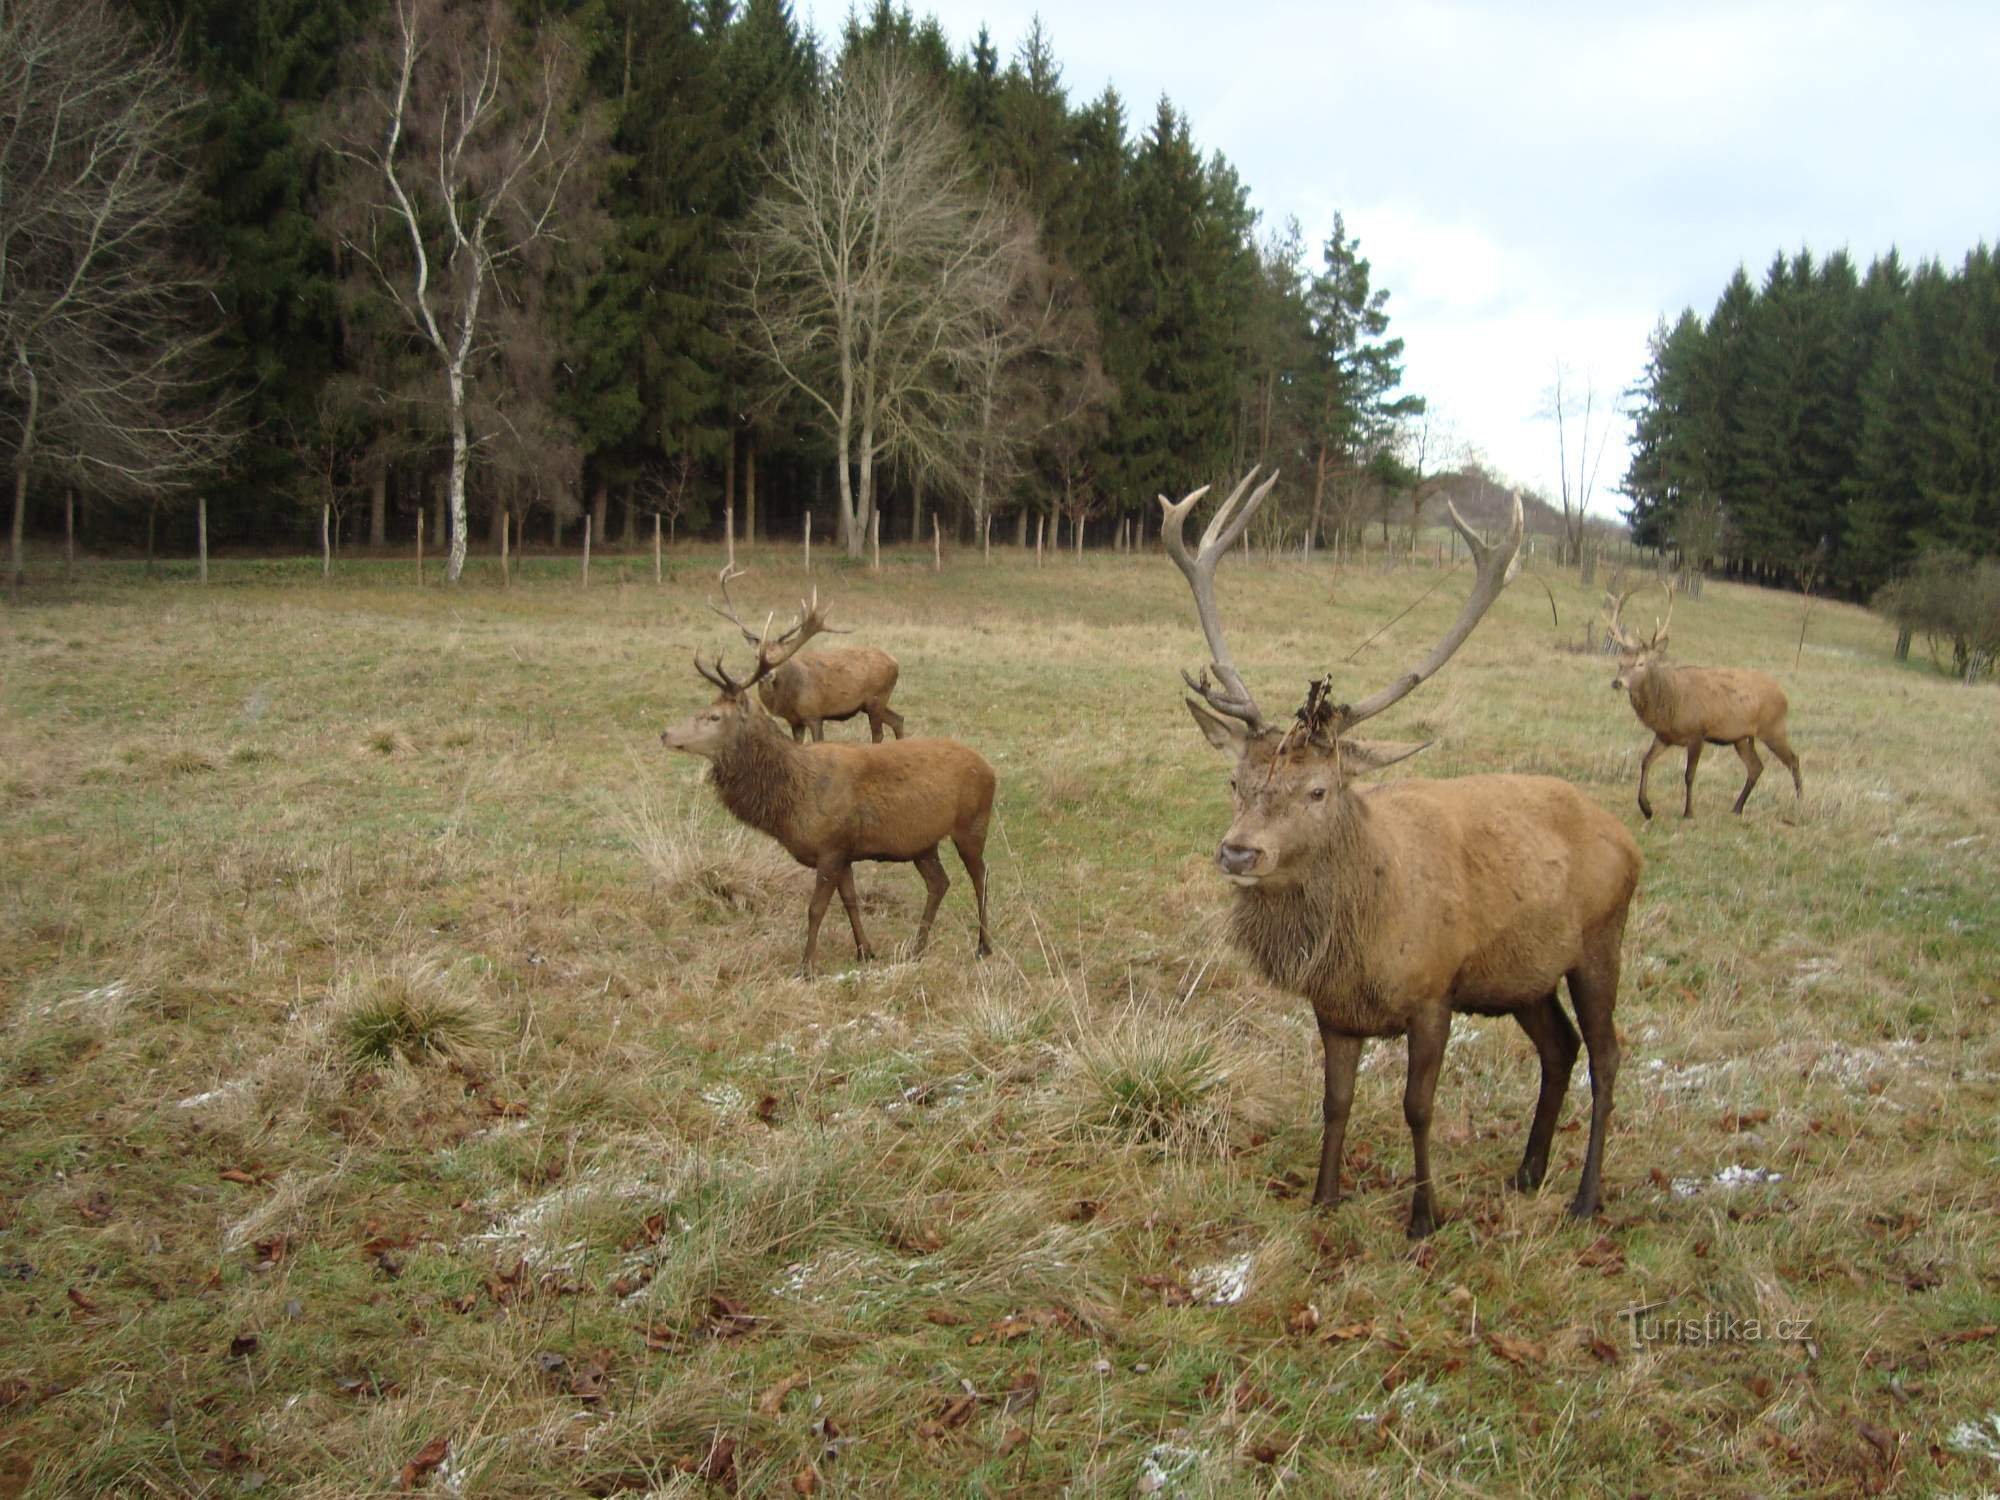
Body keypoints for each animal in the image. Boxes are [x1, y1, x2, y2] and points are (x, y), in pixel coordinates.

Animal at [712, 568, 908, 748]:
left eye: (781, 655)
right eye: (755, 655)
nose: (767, 674)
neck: (788, 699)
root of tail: (895, 662)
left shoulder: (814, 713)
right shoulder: (795, 721)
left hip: (877, 697)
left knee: (878, 733)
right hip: (871, 703)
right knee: (898, 719)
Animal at [1160, 476, 1640, 1240]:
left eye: (1319, 789)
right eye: (1236, 780)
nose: (1239, 850)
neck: (1363, 940)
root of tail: (1628, 838)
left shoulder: (1434, 993)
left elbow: (1418, 1107)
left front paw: (1423, 1215)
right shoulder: (1333, 1010)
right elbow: (1335, 1102)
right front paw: (1324, 1199)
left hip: (1601, 941)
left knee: (1608, 1054)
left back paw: (1585, 1196)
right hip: (1522, 977)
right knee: (1559, 1048)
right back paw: (1527, 1172)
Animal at [1600, 584, 1808, 824]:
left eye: (1641, 663)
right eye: (1620, 662)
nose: (1617, 682)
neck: (1670, 702)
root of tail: (1784, 694)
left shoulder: (1697, 732)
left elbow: (1689, 775)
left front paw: (1688, 812)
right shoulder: (1664, 736)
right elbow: (1645, 761)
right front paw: (1646, 808)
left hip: (1773, 728)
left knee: (1793, 759)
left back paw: (1799, 805)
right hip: (1741, 738)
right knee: (1756, 766)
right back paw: (1737, 808)